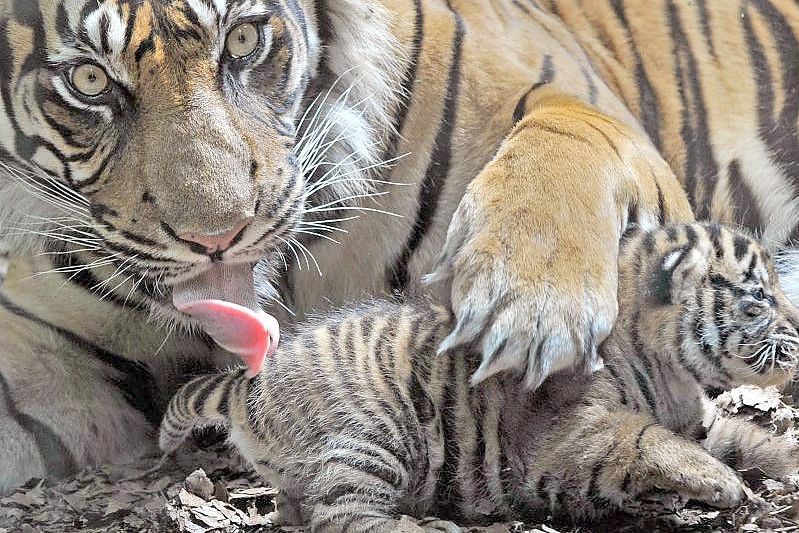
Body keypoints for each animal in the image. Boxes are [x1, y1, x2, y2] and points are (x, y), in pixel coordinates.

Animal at [0, 0, 792, 492]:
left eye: (244, 40)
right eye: (90, 81)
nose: (219, 236)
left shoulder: (568, 99)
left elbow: (565, 136)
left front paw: (531, 308)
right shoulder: (44, 352)